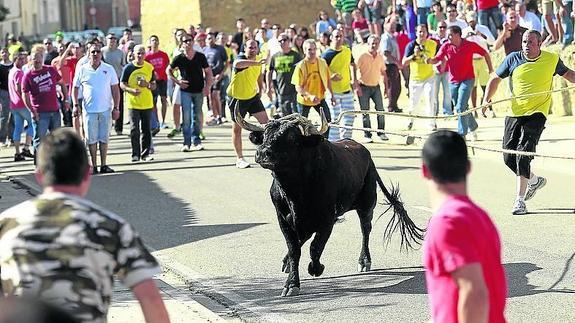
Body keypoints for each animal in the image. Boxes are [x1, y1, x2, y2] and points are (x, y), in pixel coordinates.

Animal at [236, 108, 426, 296]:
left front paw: (315, 268)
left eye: (292, 138)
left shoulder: (327, 219)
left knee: (365, 230)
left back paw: (364, 261)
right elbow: (294, 249)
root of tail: (365, 153)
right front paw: (291, 283)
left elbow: (315, 247)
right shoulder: (283, 218)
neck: (295, 191)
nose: (263, 153)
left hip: (366, 206)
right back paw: (287, 262)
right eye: (265, 134)